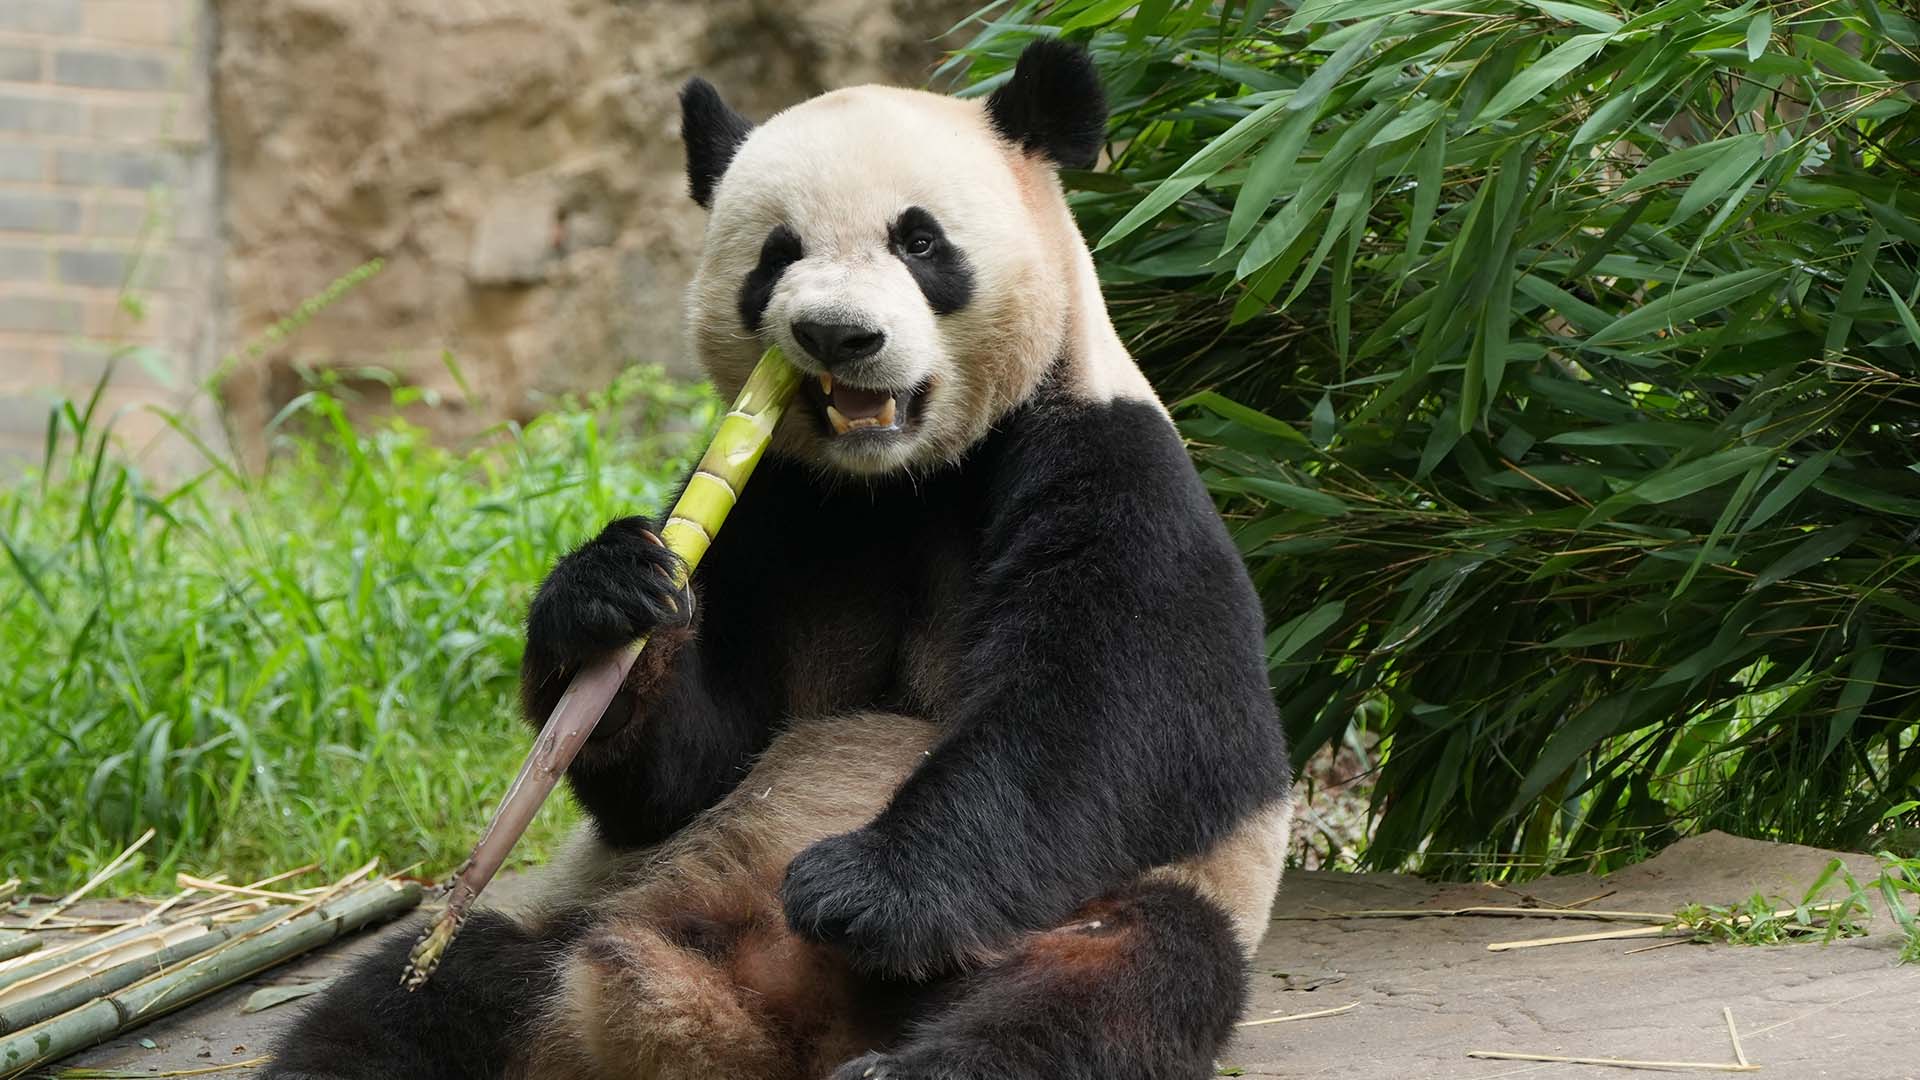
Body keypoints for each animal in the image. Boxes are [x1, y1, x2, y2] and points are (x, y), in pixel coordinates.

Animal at [266, 40, 1294, 1080]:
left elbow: (1117, 714)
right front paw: (609, 597)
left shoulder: (1110, 463)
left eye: (920, 243)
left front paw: (863, 890)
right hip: (573, 910)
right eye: (777, 254)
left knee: (1115, 983)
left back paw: (906, 1058)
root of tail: (743, 1022)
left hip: (1095, 916)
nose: (836, 333)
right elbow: (691, 766)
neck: (897, 480)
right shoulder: (768, 504)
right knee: (412, 996)